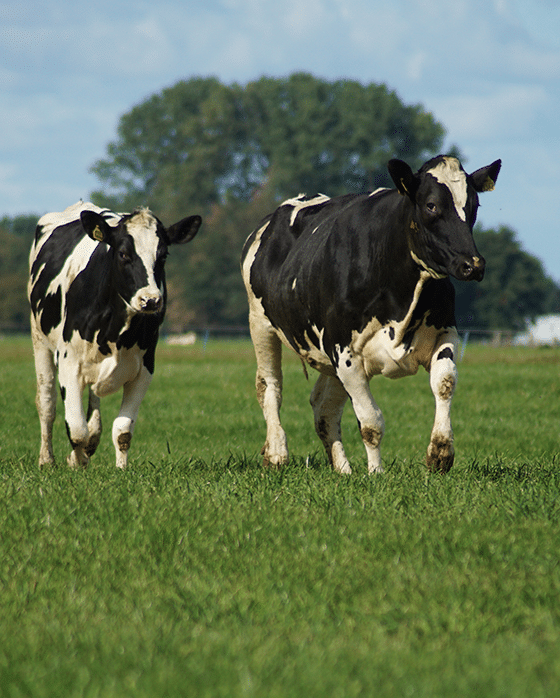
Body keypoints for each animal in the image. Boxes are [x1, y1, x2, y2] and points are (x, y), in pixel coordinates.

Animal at [28, 201, 202, 469]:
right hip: (39, 340)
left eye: (163, 255)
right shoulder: (69, 362)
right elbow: (76, 429)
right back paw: (47, 459)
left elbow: (122, 431)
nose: (151, 300)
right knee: (47, 402)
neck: (116, 330)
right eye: (123, 254)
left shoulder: (144, 368)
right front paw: (77, 461)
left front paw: (121, 469)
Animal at [241, 155, 501, 474]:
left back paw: (343, 469)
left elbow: (445, 383)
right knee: (270, 386)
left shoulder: (444, 331)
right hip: (260, 324)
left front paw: (440, 452)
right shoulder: (345, 352)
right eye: (431, 205)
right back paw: (277, 454)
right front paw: (376, 473)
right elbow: (371, 423)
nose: (472, 264)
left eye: (474, 205)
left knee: (323, 407)